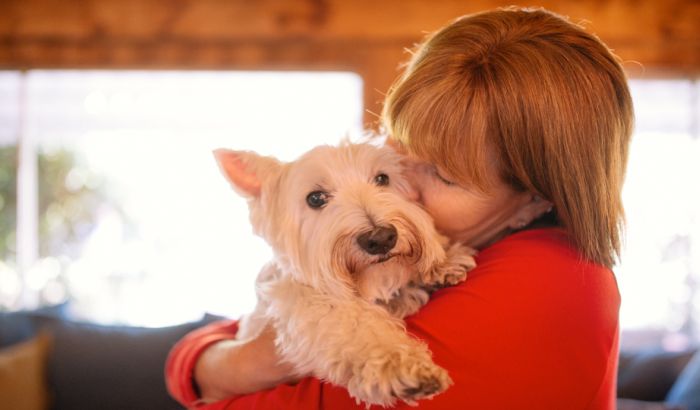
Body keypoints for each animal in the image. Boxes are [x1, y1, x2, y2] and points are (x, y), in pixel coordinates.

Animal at [213, 143, 476, 406]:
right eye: (315, 198)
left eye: (382, 178)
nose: (381, 238)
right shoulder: (303, 303)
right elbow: (355, 326)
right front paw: (397, 365)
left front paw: (443, 261)